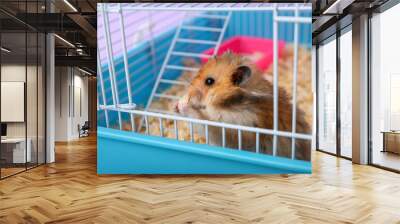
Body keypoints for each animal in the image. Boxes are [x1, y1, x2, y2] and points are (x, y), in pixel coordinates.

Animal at [177, 52, 310, 161]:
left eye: (209, 81)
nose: (189, 92)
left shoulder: (230, 129)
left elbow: (203, 122)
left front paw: (183, 104)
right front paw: (180, 101)